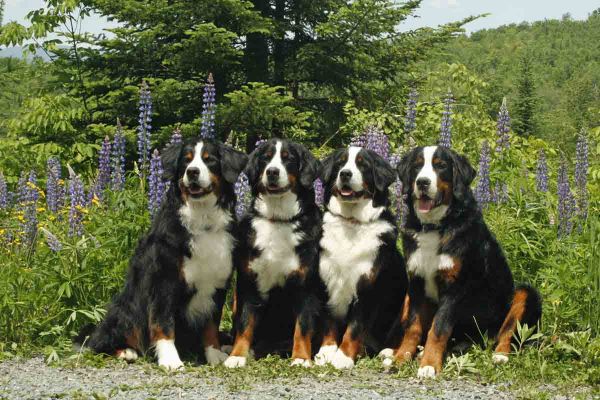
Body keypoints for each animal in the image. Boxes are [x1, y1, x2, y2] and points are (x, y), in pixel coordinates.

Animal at [79, 139, 246, 370]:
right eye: (186, 161)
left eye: (209, 159)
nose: (192, 172)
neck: (202, 219)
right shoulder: (164, 281)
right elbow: (163, 324)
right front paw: (170, 360)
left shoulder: (217, 284)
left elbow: (211, 325)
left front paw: (214, 353)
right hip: (124, 310)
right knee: (99, 343)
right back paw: (127, 352)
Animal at [224, 138, 324, 368]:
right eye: (265, 158)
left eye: (288, 158)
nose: (272, 172)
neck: (279, 218)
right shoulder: (250, 283)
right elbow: (244, 323)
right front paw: (237, 355)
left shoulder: (306, 286)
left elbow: (303, 326)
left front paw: (301, 358)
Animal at [314, 146, 408, 368]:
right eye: (340, 163)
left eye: (362, 165)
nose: (345, 174)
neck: (351, 223)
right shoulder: (327, 281)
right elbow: (329, 322)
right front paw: (326, 352)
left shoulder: (367, 287)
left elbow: (355, 327)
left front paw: (343, 357)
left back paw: (388, 352)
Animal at [380, 145, 544, 376]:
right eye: (417, 166)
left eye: (441, 166)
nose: (422, 182)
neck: (435, 226)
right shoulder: (417, 284)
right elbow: (413, 327)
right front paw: (401, 358)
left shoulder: (455, 287)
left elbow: (438, 329)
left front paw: (429, 365)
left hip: (525, 293)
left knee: (509, 331)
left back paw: (500, 355)